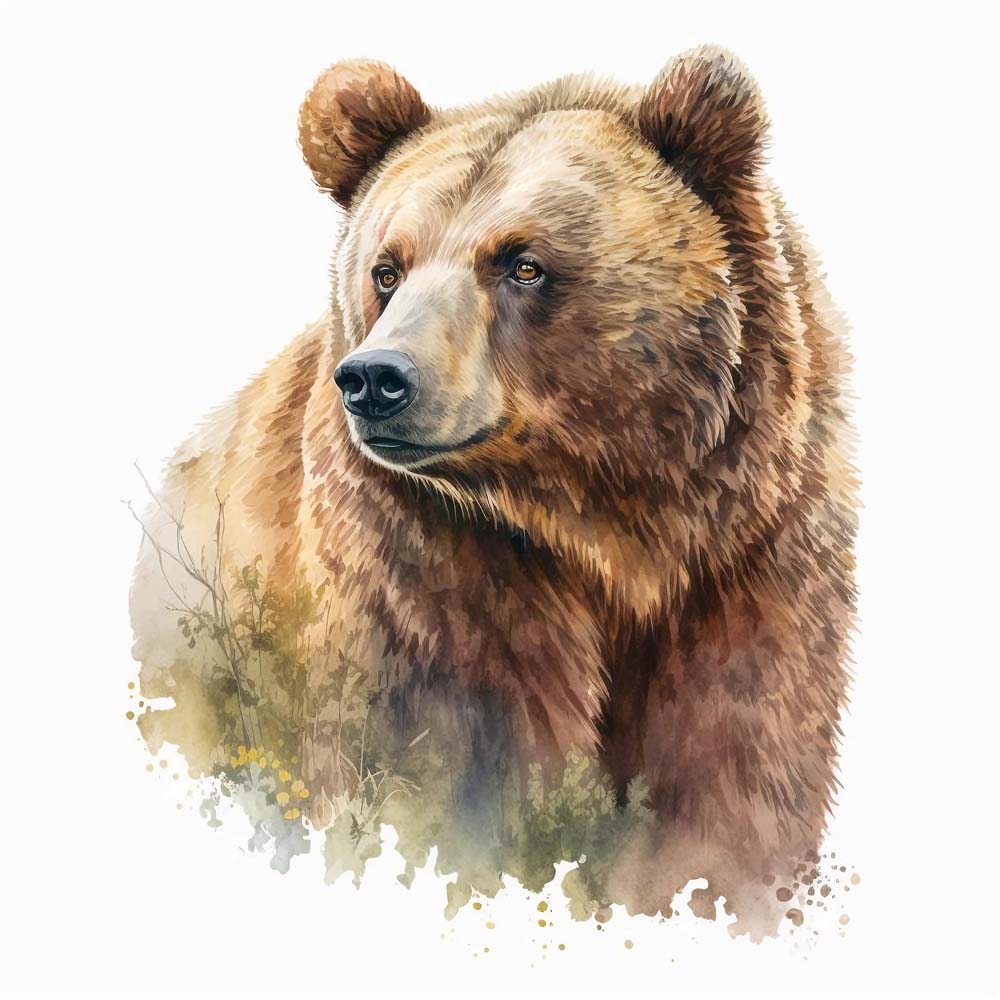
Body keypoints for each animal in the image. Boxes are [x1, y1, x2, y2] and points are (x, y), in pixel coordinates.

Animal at [130, 46, 856, 939]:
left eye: (522, 263)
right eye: (387, 269)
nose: (377, 379)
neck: (608, 525)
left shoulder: (751, 560)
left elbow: (735, 777)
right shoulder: (427, 581)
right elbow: (438, 776)